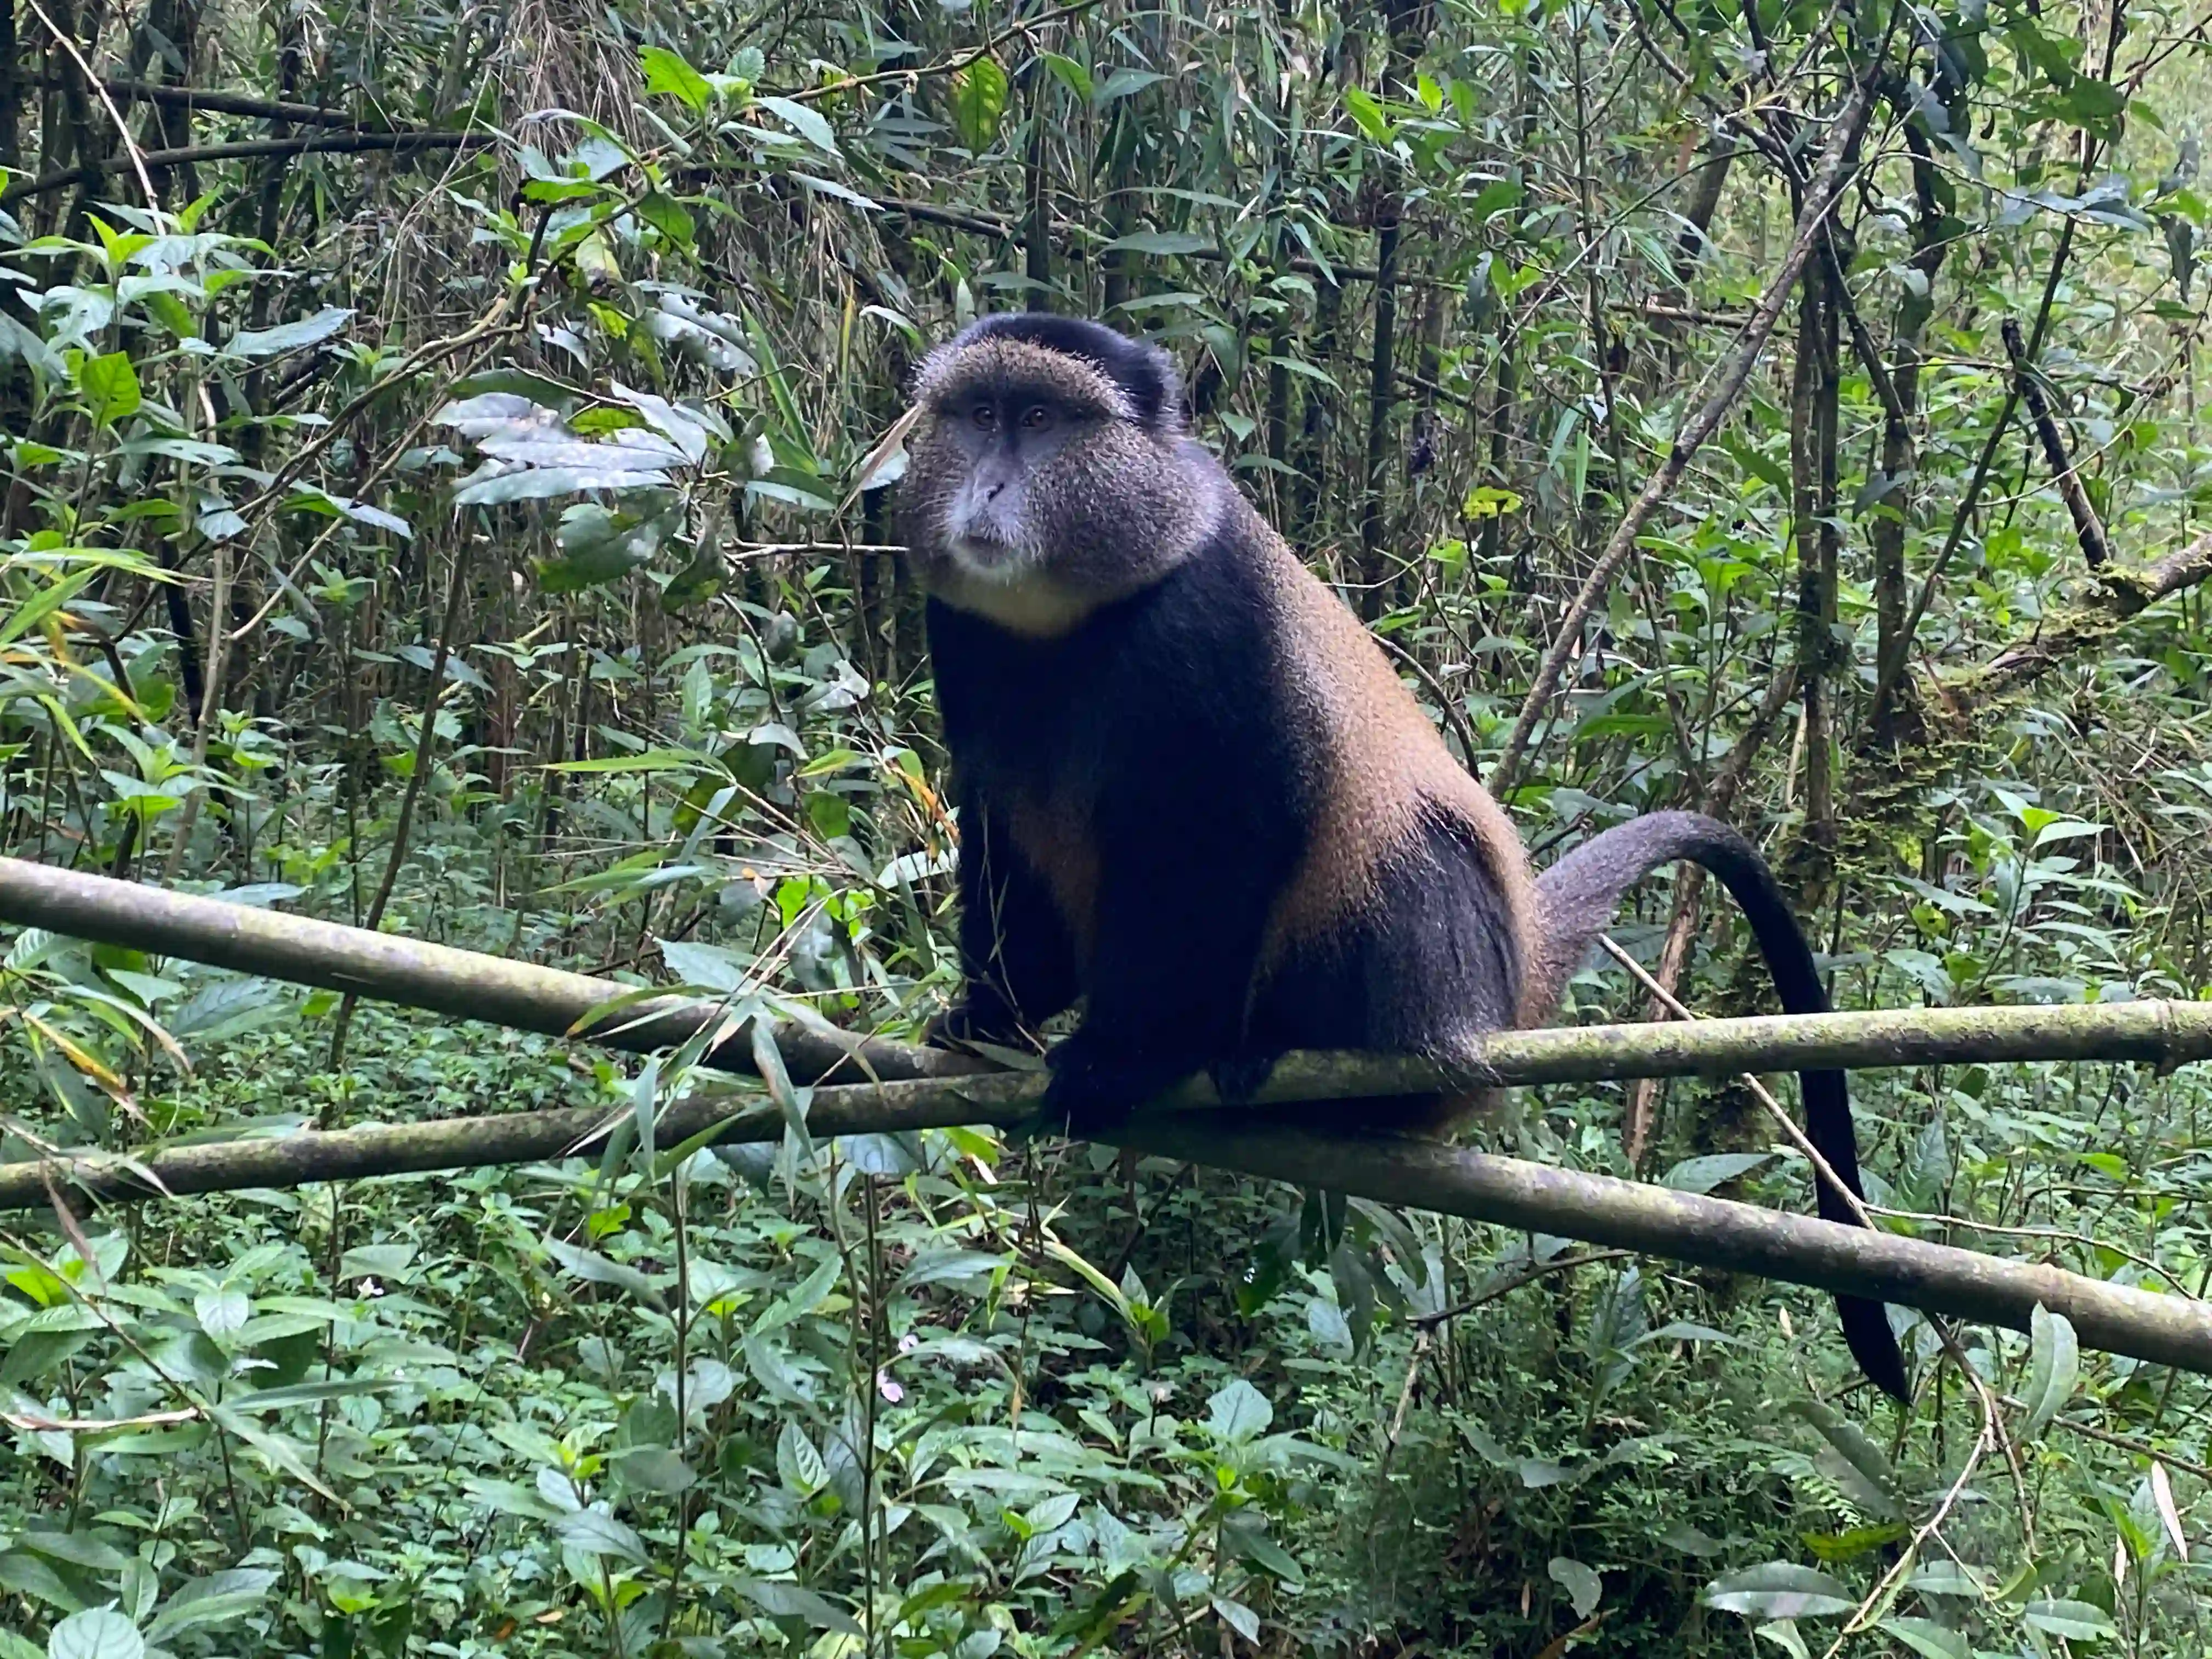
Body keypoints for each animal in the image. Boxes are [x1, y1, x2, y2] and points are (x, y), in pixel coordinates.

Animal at [895, 313, 1908, 1402]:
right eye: (979, 414)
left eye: (1042, 420)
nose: (987, 487)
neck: (1074, 616)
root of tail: (1507, 992)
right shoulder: (960, 633)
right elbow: (997, 822)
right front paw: (993, 1012)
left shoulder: (1214, 624)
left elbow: (1235, 834)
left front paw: (1129, 1056)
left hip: (1437, 963)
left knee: (1406, 855)